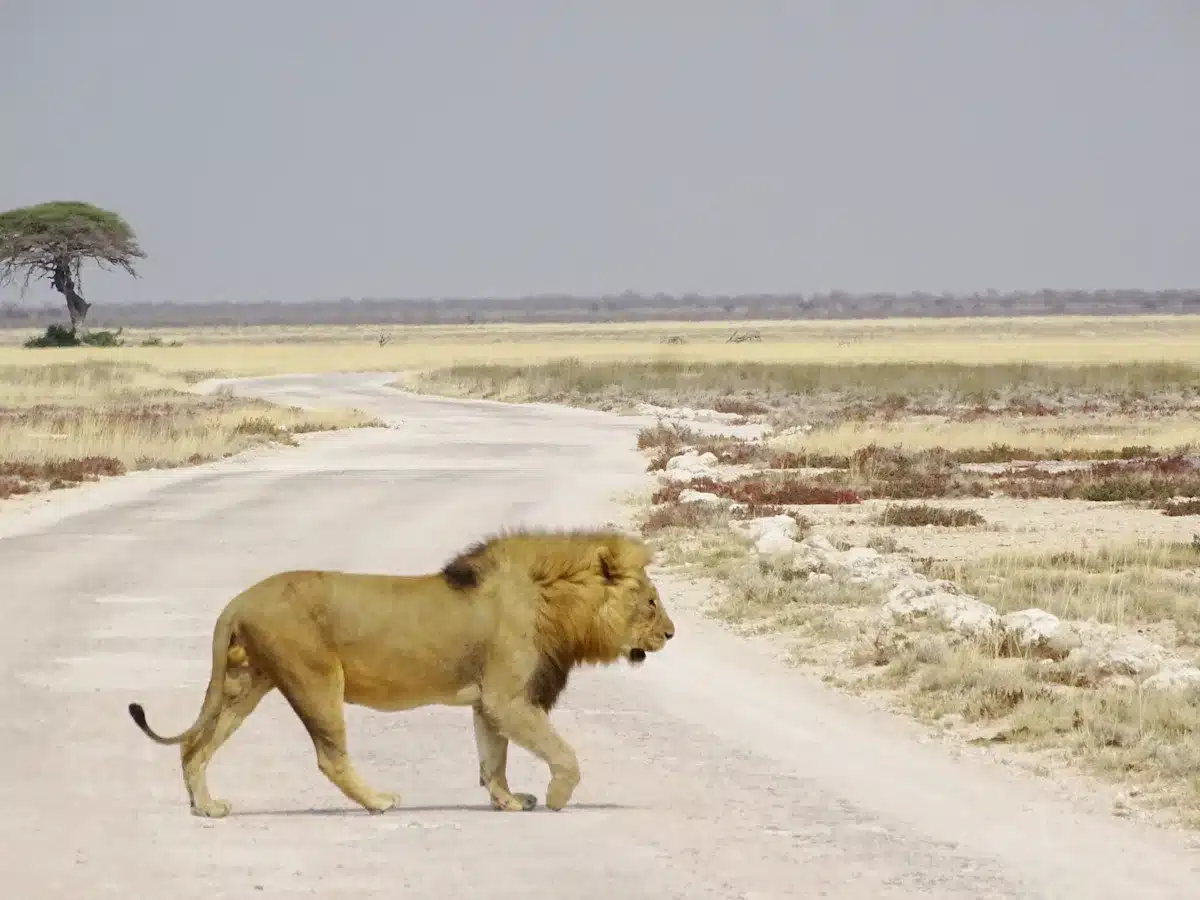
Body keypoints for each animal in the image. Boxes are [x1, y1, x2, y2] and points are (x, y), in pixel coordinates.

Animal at [127, 527, 675, 818]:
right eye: (651, 603)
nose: (671, 634)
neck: (555, 602)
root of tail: (237, 602)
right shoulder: (509, 698)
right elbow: (564, 754)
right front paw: (558, 798)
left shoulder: (489, 702)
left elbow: (492, 758)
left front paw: (507, 801)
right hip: (315, 680)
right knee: (330, 758)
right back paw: (378, 801)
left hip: (245, 684)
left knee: (195, 746)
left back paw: (205, 807)